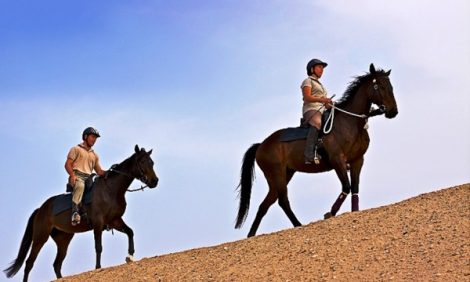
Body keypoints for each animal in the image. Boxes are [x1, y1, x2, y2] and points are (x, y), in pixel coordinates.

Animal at [3, 144, 160, 280]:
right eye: (142, 162)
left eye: (152, 162)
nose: (155, 181)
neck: (110, 190)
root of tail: (40, 209)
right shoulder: (98, 223)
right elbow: (98, 247)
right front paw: (98, 267)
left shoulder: (115, 221)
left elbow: (130, 232)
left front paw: (130, 257)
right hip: (40, 237)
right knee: (29, 263)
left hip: (63, 239)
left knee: (56, 264)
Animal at [237, 64, 398, 238]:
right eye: (379, 86)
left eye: (390, 86)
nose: (393, 111)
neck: (350, 123)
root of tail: (261, 144)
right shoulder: (338, 160)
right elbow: (346, 186)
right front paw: (330, 213)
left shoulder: (357, 161)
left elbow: (355, 188)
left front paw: (354, 212)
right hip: (277, 173)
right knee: (282, 201)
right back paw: (298, 225)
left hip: (283, 175)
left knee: (265, 204)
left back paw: (251, 234)